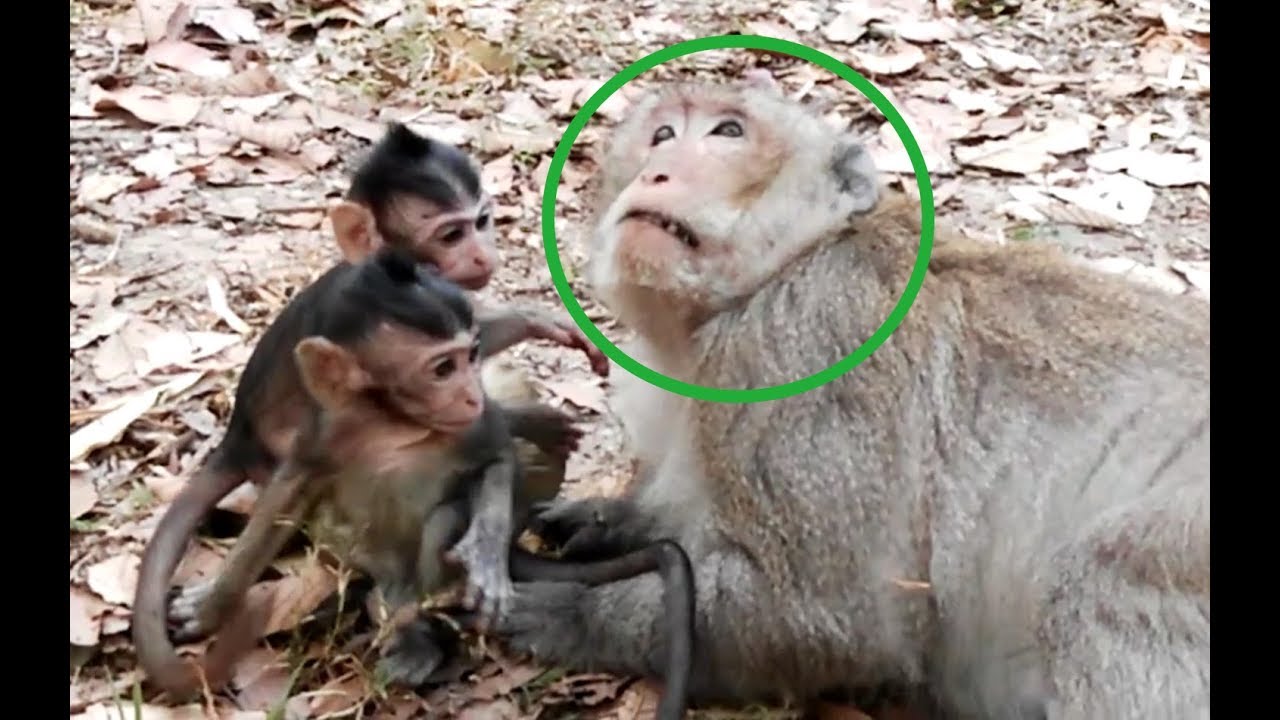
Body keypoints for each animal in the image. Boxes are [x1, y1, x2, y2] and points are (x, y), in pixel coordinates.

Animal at [131, 123, 603, 695]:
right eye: (451, 234)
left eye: (481, 222)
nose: (483, 255)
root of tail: (236, 440)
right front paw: (529, 418)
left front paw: (536, 321)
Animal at [483, 77, 1210, 720]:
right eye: (662, 135)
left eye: (727, 132)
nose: (656, 172)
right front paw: (609, 521)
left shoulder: (801, 336)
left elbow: (829, 616)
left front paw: (571, 612)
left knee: (1100, 578)